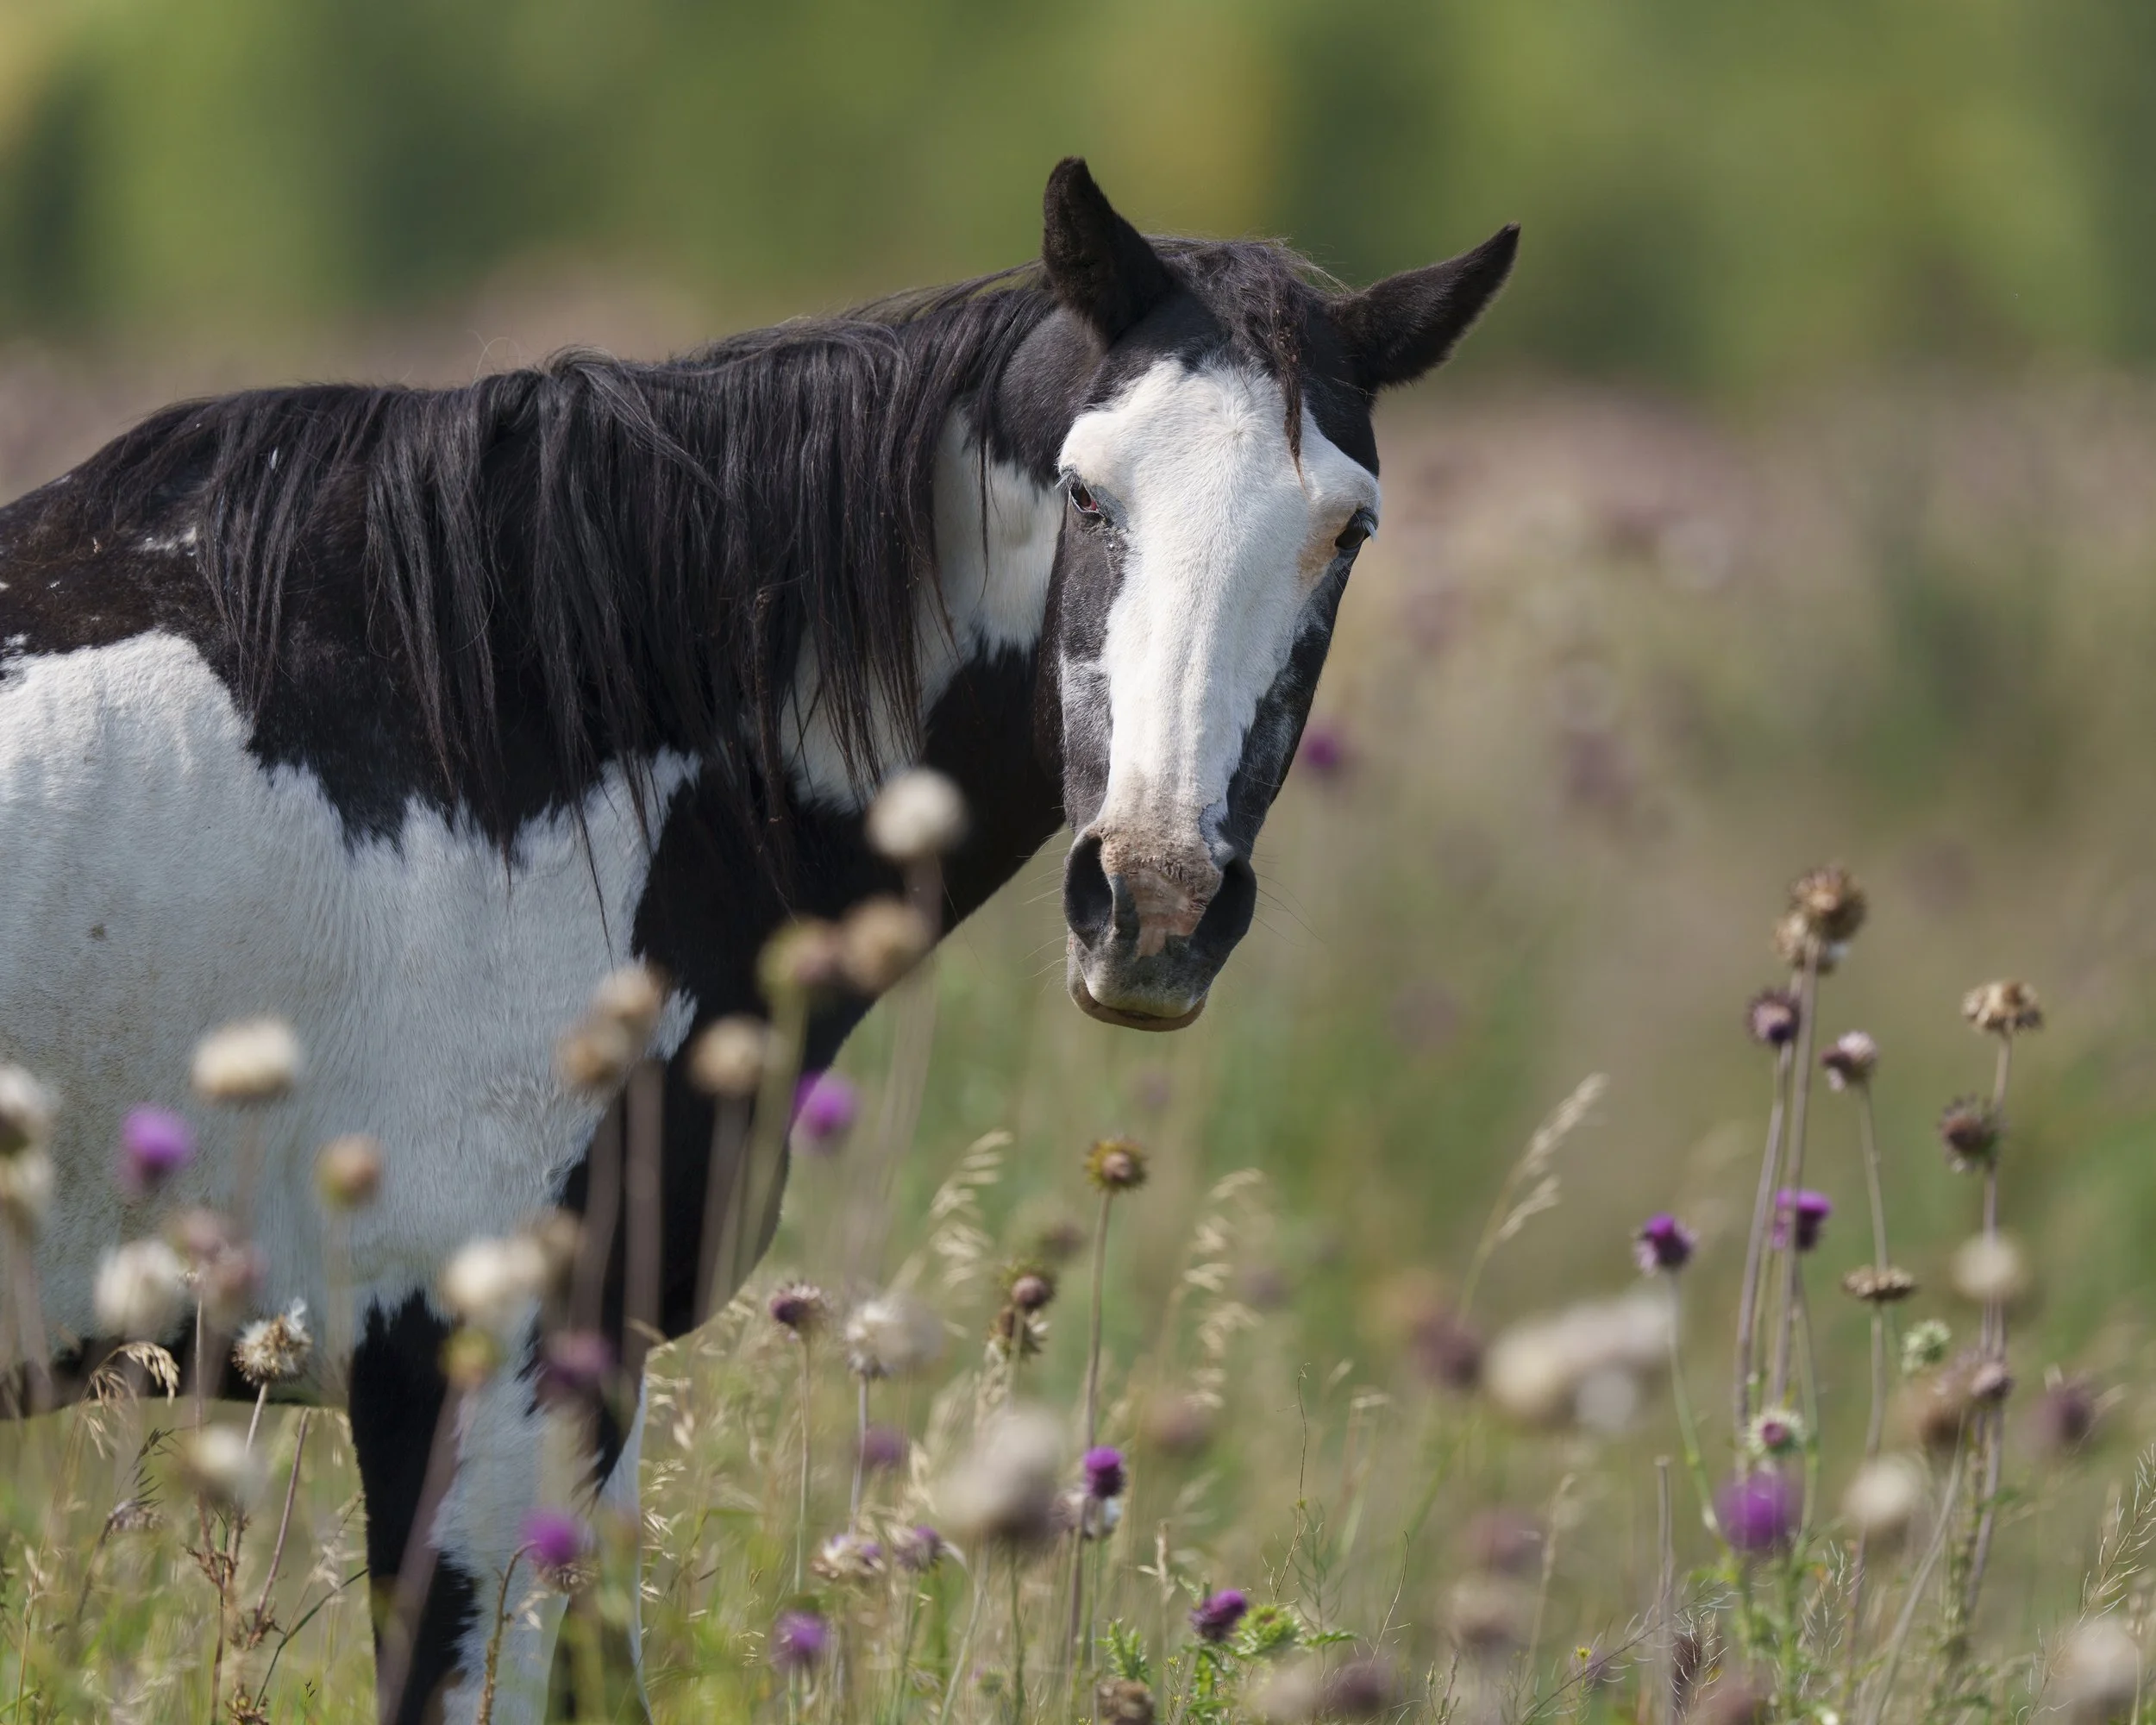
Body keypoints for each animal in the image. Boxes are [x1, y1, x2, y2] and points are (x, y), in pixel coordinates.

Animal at [0, 157, 1514, 1720]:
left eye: (1347, 532)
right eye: (1090, 492)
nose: (1155, 904)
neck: (536, 730)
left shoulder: (587, 1392)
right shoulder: (467, 1384)